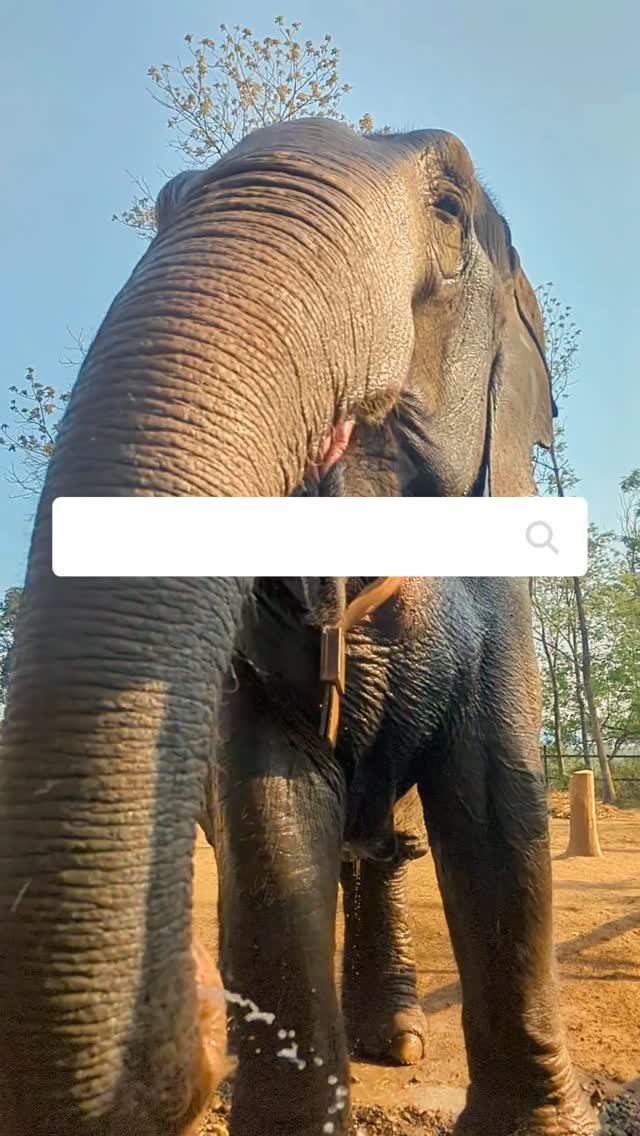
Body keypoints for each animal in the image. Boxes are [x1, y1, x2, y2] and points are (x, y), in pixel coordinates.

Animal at [0, 117, 597, 1136]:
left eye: (450, 208)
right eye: (165, 207)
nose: (197, 1013)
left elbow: (497, 808)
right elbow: (270, 805)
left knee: (392, 849)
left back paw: (397, 1040)